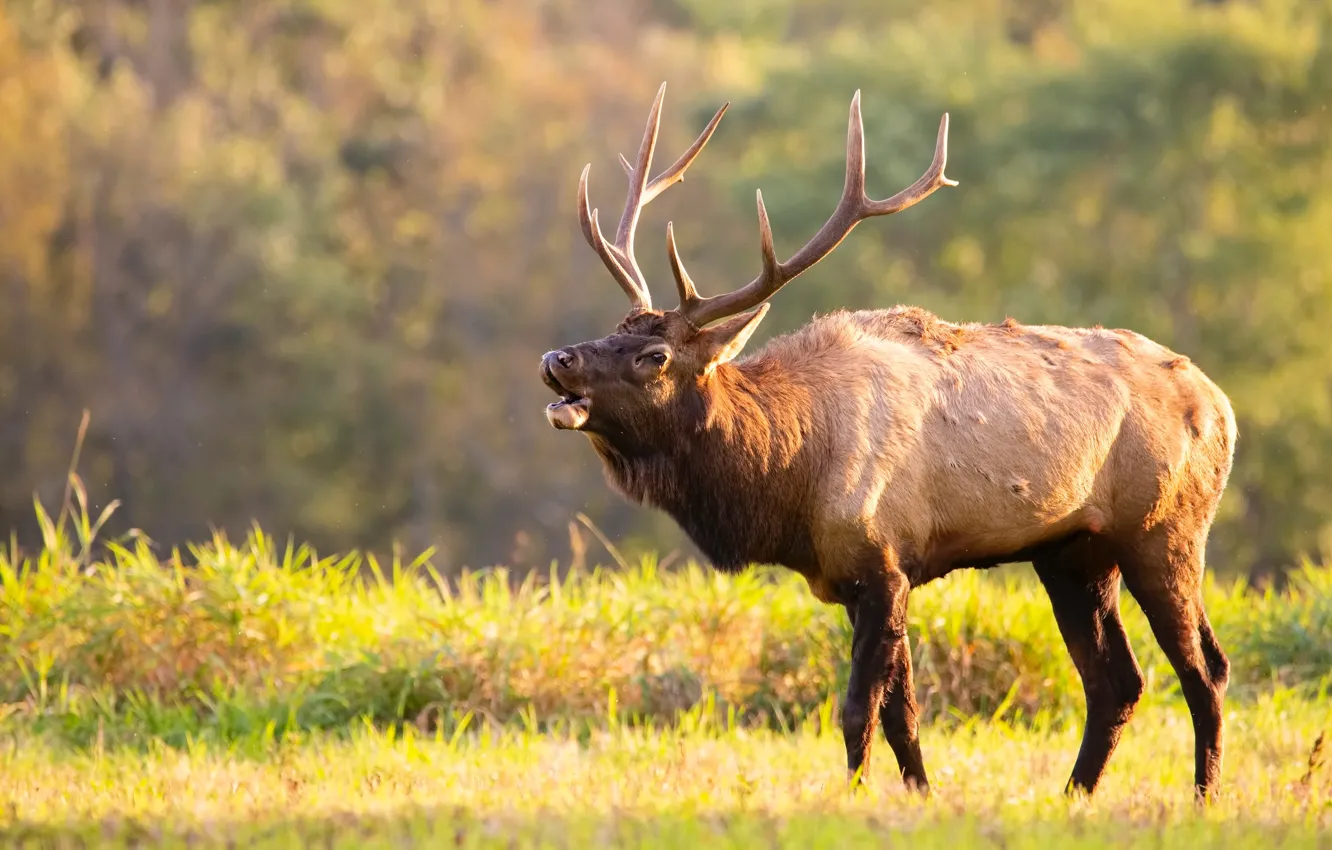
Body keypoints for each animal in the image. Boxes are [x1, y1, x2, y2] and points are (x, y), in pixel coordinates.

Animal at [540, 82, 1237, 802]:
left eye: (654, 355)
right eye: (613, 328)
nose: (557, 359)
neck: (788, 482)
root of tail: (1221, 405)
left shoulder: (882, 563)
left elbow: (857, 709)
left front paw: (856, 797)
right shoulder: (859, 578)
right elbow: (903, 713)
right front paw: (921, 795)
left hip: (1165, 529)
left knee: (1205, 668)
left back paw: (1203, 796)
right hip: (1074, 553)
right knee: (1116, 681)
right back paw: (1074, 796)